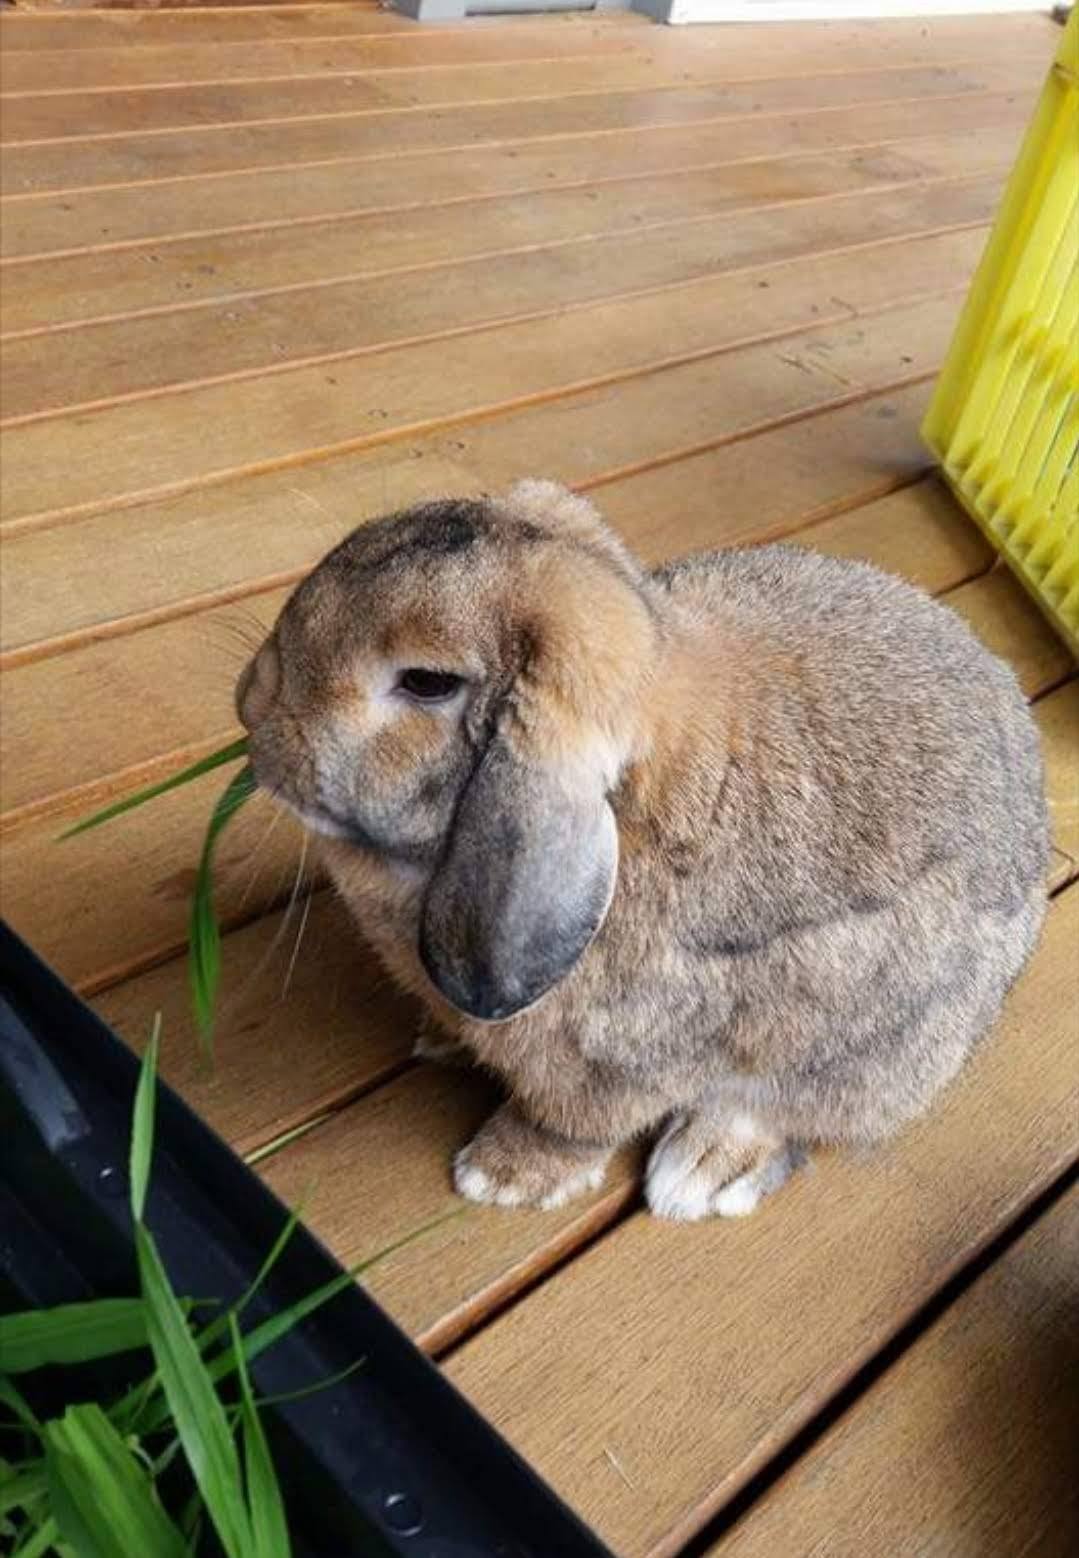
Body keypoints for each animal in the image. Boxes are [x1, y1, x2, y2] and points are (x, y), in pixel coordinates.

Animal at [236, 479, 1049, 1220]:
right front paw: (442, 1039)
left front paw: (502, 1177)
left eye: (428, 682)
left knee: (790, 1113)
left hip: (868, 1053)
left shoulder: (613, 1066)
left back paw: (703, 1173)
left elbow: (570, 1127)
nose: (249, 699)